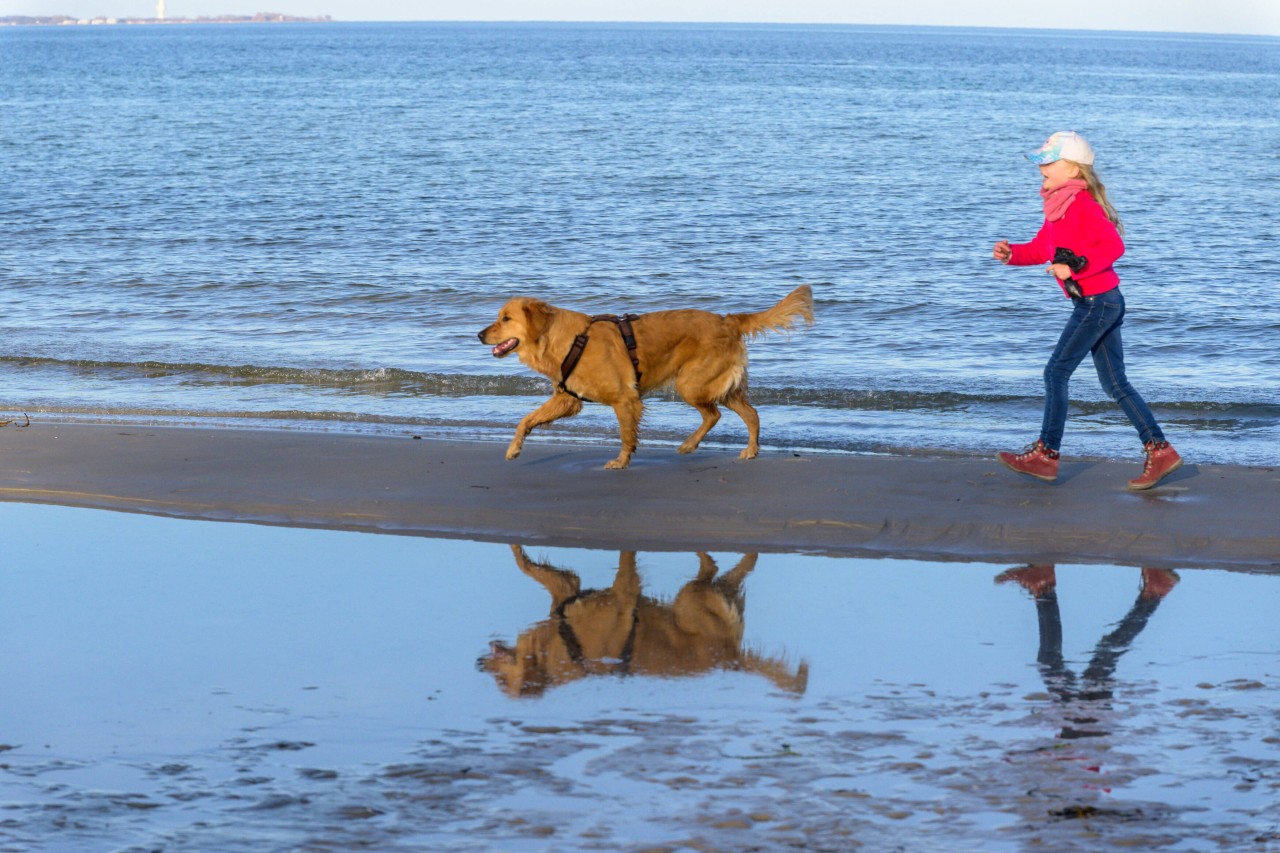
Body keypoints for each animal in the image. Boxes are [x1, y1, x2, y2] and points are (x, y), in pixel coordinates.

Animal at [476, 284, 814, 466]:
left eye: (505, 319)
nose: (479, 334)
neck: (568, 341)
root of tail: (728, 319)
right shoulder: (567, 399)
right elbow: (525, 420)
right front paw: (514, 448)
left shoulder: (624, 399)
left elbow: (627, 434)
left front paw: (621, 462)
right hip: (713, 384)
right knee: (748, 413)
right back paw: (744, 449)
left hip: (692, 382)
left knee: (715, 414)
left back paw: (696, 444)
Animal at [476, 545, 803, 696]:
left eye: (502, 681)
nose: (478, 665)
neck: (557, 647)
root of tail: (729, 656)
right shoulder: (567, 589)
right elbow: (526, 566)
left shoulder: (620, 595)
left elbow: (625, 563)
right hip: (704, 599)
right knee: (728, 570)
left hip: (691, 600)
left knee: (711, 568)